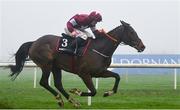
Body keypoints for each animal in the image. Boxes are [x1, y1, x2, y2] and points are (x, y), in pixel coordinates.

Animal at [9, 20, 146, 107]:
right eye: (132, 32)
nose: (142, 46)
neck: (99, 48)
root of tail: (34, 43)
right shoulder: (84, 73)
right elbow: (93, 91)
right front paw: (77, 91)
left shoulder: (99, 72)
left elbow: (117, 77)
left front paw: (108, 93)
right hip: (46, 64)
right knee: (44, 82)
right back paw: (60, 99)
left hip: (56, 66)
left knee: (58, 84)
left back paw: (72, 101)